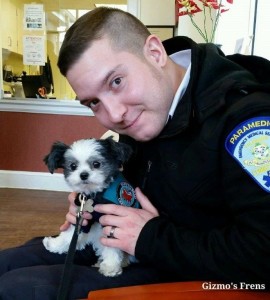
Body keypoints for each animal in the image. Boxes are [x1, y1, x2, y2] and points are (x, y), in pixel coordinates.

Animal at [43, 137, 139, 276]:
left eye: (96, 164)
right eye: (73, 166)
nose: (83, 175)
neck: (95, 195)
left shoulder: (113, 220)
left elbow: (112, 244)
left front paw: (110, 266)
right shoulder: (82, 216)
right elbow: (70, 233)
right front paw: (56, 244)